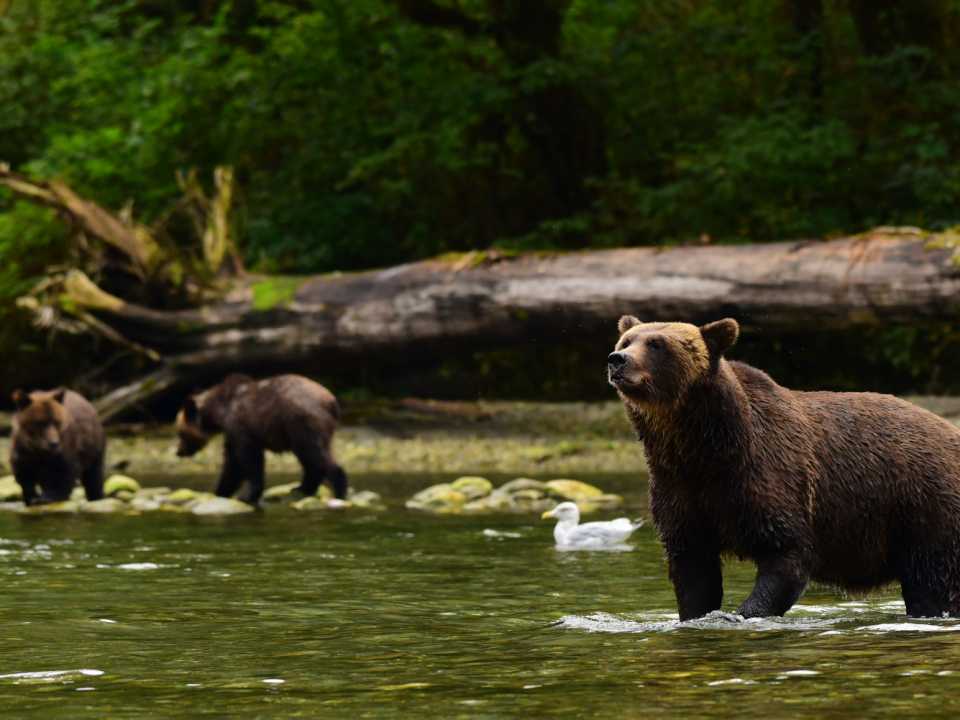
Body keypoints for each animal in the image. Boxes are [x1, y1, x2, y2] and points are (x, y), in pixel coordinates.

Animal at [175, 373, 347, 504]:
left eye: (180, 433)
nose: (179, 452)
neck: (219, 412)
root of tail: (331, 401)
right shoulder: (232, 433)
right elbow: (231, 462)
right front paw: (221, 491)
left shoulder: (240, 426)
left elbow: (245, 459)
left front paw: (246, 495)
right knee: (311, 458)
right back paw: (301, 488)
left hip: (301, 422)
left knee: (314, 454)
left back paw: (338, 490)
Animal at [608, 315, 960, 620]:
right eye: (627, 340)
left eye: (657, 343)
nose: (617, 359)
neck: (702, 447)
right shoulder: (680, 489)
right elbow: (693, 569)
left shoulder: (770, 477)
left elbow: (786, 555)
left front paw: (742, 613)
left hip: (924, 506)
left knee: (933, 582)